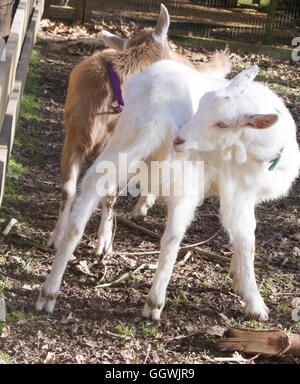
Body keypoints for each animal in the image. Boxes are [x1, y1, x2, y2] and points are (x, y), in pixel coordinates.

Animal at [36, 62, 298, 320]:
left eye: (222, 123)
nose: (180, 138)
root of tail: (154, 112)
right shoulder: (237, 191)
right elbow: (246, 239)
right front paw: (254, 302)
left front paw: (236, 276)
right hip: (183, 177)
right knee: (171, 237)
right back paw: (154, 302)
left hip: (121, 140)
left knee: (90, 191)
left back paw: (50, 290)